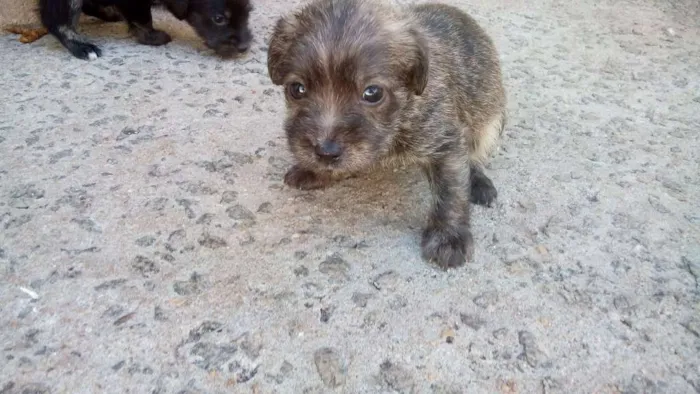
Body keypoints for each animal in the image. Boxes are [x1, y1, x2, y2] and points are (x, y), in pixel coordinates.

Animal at [39, 0, 253, 60]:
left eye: (249, 10)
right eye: (219, 19)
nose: (244, 47)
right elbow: (143, 17)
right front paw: (152, 37)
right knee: (54, 18)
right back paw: (81, 46)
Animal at [266, 0, 506, 270]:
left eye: (373, 93)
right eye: (297, 89)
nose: (325, 152)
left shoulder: (446, 144)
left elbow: (450, 192)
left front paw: (449, 236)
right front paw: (314, 170)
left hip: (490, 123)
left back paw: (478, 182)